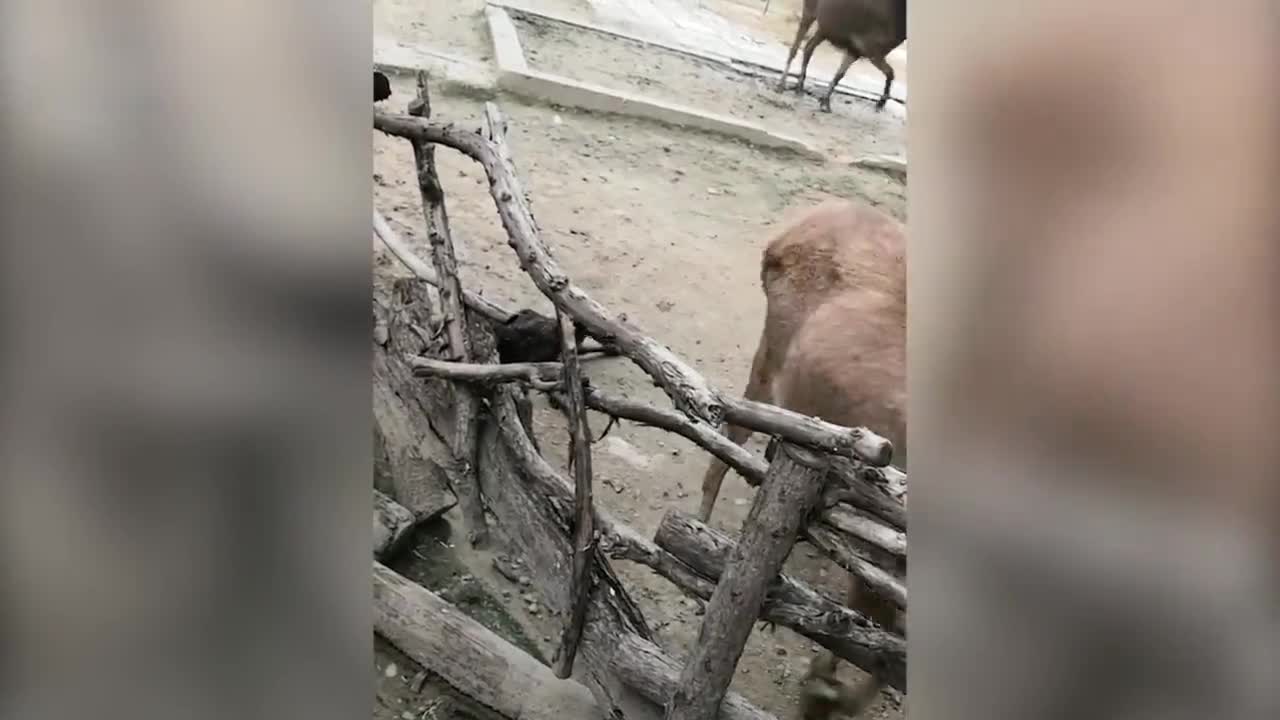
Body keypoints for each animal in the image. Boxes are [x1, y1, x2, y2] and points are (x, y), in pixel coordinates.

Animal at [778, 0, 911, 112]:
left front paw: (825, 102)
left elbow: (839, 75)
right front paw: (880, 103)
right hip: (809, 12)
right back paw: (781, 85)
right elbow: (890, 72)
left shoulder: (856, 51)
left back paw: (799, 88)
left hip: (825, 27)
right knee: (795, 48)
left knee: (808, 48)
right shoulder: (871, 52)